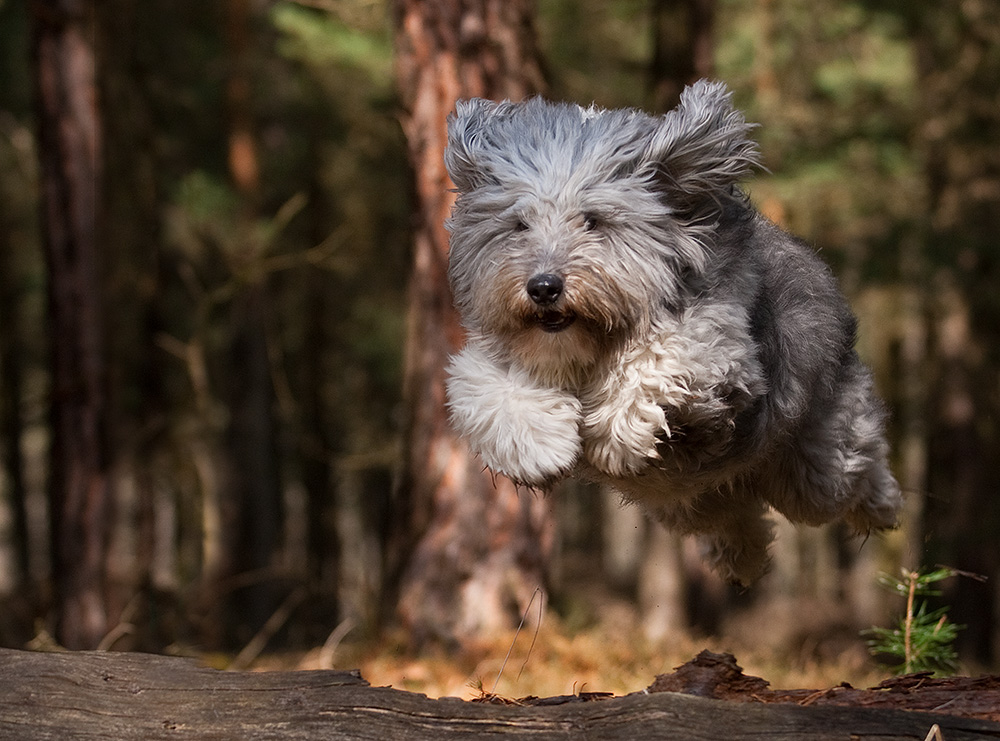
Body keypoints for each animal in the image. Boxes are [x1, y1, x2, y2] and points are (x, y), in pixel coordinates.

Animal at [442, 76, 904, 584]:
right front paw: (539, 447)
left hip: (813, 466)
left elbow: (658, 358)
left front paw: (615, 436)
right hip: (690, 498)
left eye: (593, 220)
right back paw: (743, 560)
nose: (543, 287)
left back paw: (884, 510)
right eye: (519, 224)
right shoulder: (492, 358)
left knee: (850, 470)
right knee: (731, 513)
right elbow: (486, 387)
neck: (589, 346)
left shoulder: (720, 344)